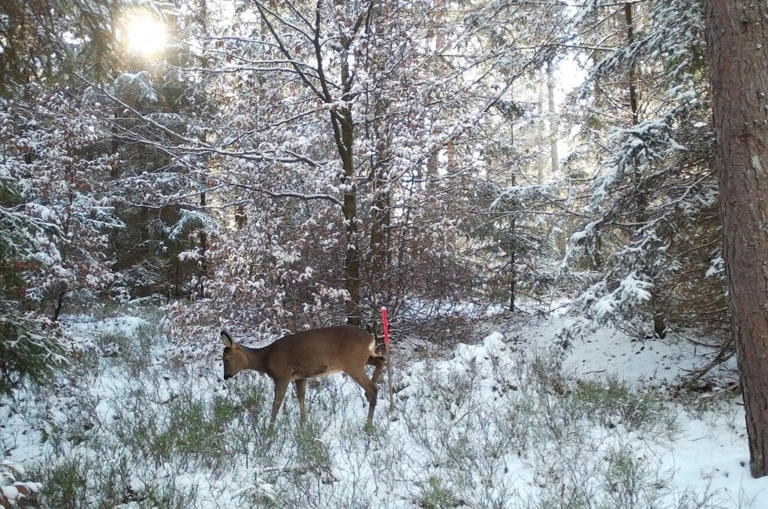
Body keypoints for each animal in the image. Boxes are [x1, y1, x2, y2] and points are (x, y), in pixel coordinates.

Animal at [219, 325, 386, 428]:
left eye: (226, 359)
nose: (226, 376)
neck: (265, 359)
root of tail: (371, 339)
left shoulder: (283, 375)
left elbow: (277, 403)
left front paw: (269, 429)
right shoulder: (301, 377)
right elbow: (301, 397)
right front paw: (304, 424)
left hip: (353, 363)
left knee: (373, 388)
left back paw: (368, 425)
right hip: (362, 359)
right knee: (381, 360)